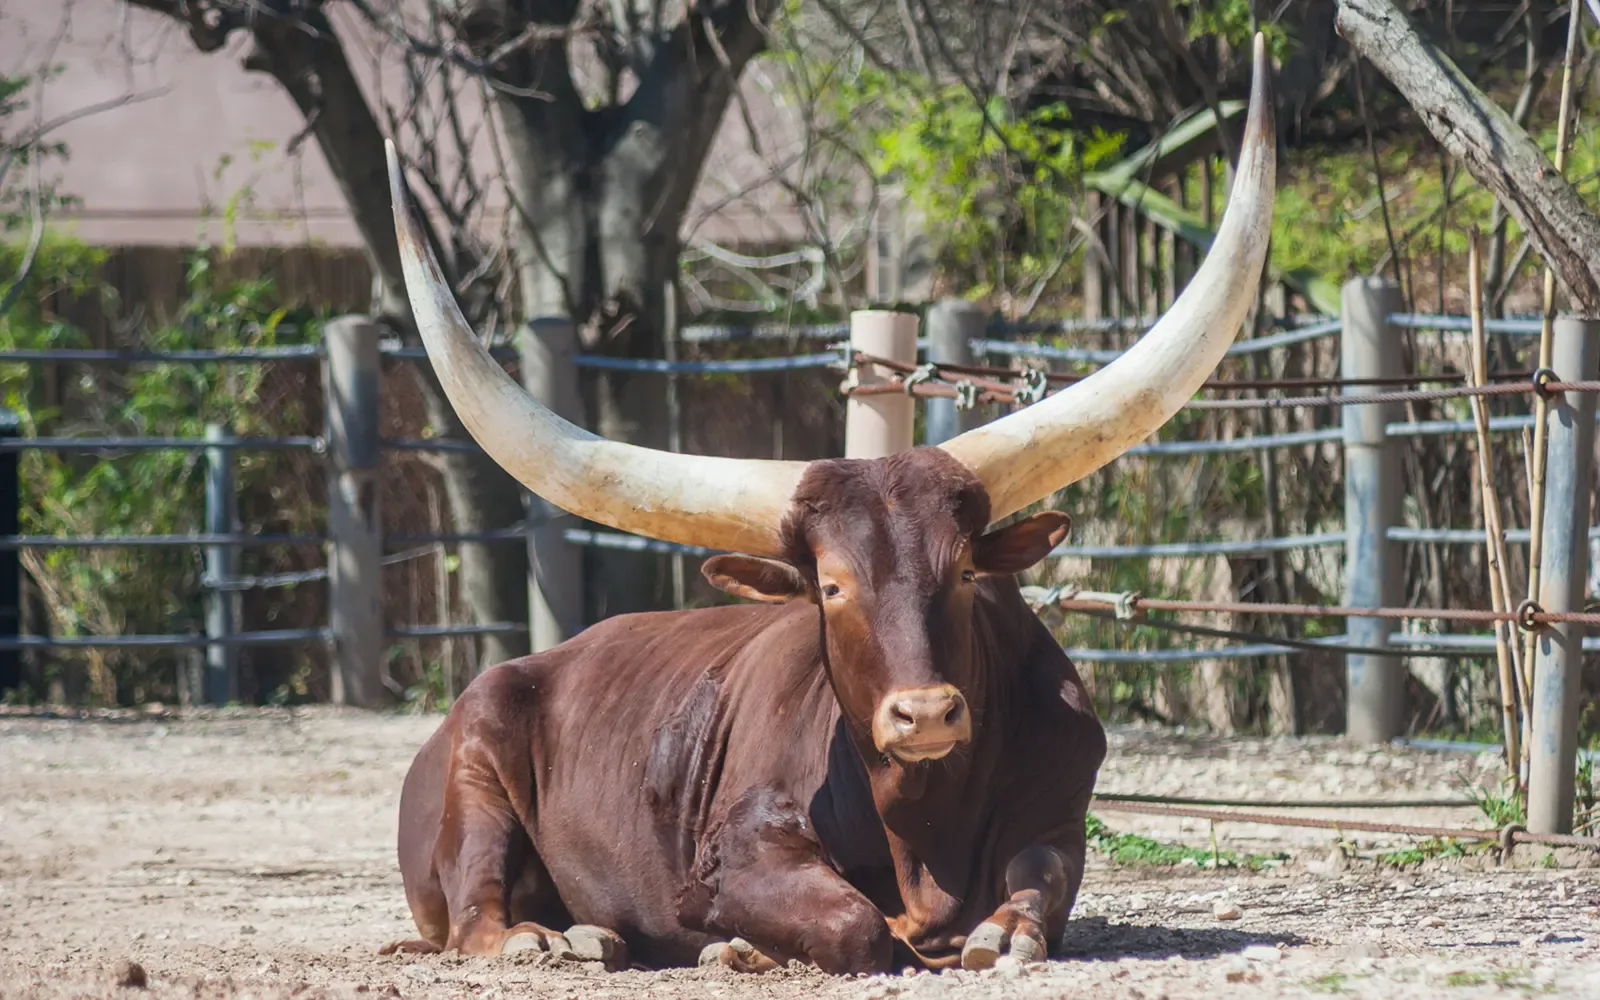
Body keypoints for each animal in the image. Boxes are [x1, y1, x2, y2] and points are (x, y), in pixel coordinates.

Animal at [377, 35, 1276, 976]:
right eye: (832, 587)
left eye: (963, 573)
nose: (925, 713)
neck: (925, 824)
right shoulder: (734, 856)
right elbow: (853, 924)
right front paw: (745, 946)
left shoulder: (1061, 817)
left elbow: (1036, 891)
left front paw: (997, 929)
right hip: (476, 762)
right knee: (479, 915)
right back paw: (552, 940)